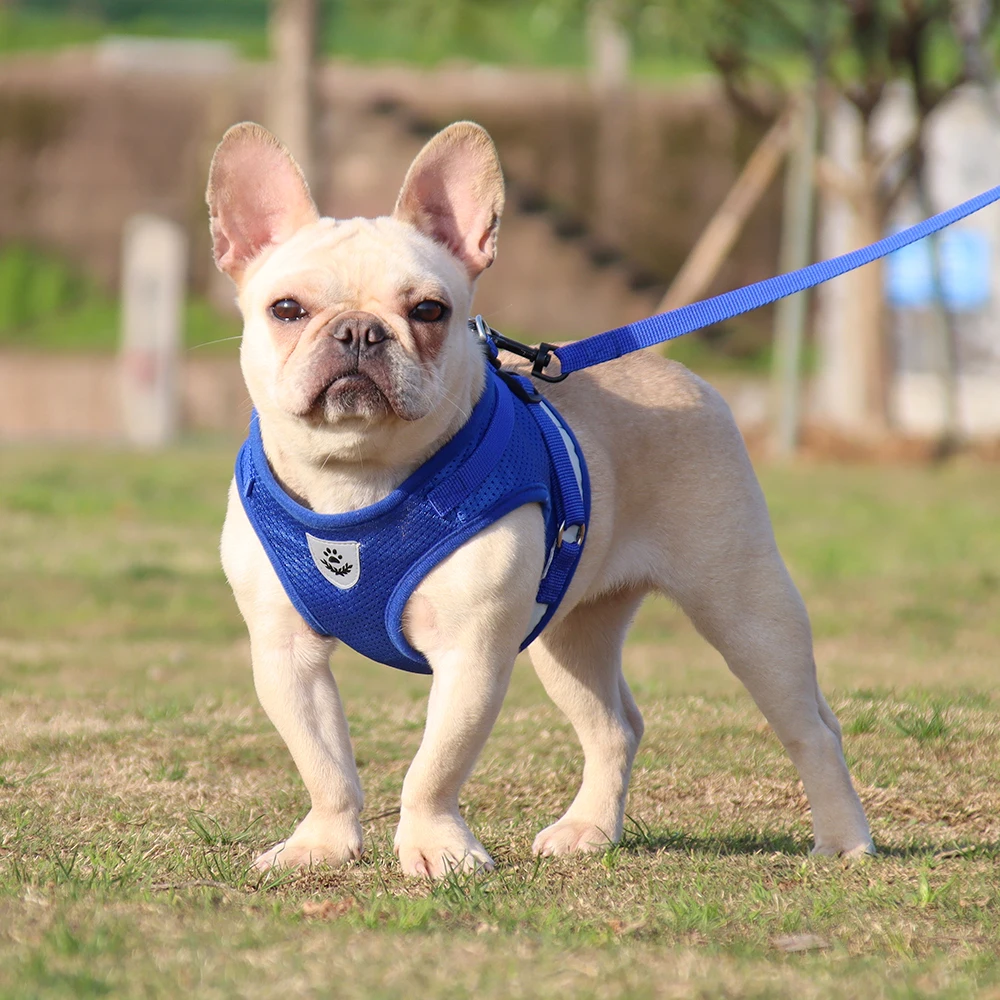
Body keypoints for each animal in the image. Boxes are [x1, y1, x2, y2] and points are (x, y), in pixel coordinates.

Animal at [206, 120, 874, 877]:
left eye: (429, 310)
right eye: (286, 310)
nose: (358, 330)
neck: (358, 478)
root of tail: (670, 370)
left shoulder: (470, 653)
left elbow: (436, 764)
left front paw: (436, 847)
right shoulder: (285, 654)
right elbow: (323, 761)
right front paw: (321, 844)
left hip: (745, 606)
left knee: (810, 725)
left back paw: (843, 838)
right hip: (570, 634)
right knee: (615, 725)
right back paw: (589, 829)